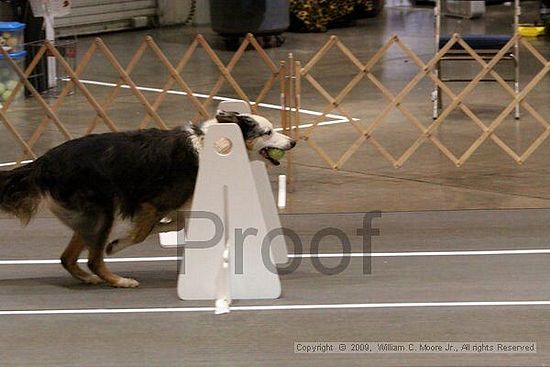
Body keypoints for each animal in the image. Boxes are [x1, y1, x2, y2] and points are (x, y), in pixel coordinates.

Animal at [0, 110, 298, 288]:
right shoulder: (154, 202)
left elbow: (172, 225)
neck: (218, 145)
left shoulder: (179, 204)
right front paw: (118, 245)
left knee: (67, 258)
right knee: (93, 258)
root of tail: (44, 161)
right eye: (267, 132)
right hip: (101, 212)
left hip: (89, 217)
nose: (293, 142)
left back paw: (88, 278)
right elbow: (141, 233)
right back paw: (118, 280)